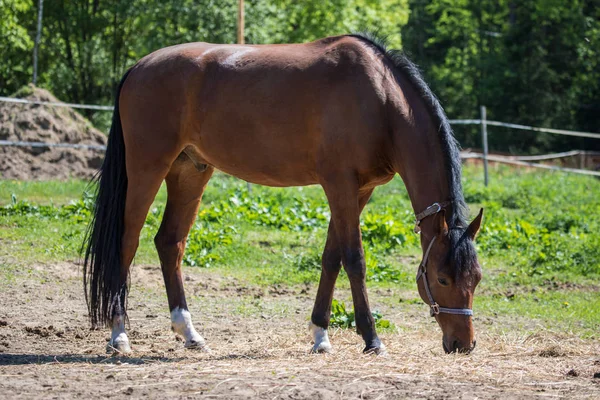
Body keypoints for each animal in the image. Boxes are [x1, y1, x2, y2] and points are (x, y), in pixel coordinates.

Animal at [83, 32, 482, 354]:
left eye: (476, 278)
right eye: (442, 278)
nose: (463, 344)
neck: (380, 101)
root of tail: (139, 67)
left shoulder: (360, 191)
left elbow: (331, 258)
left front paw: (320, 336)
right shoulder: (339, 184)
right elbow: (354, 259)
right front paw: (371, 339)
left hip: (190, 172)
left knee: (169, 243)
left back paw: (189, 334)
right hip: (147, 168)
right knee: (127, 242)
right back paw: (119, 335)